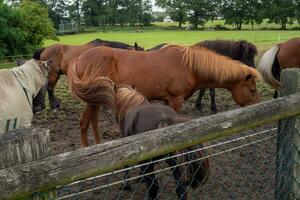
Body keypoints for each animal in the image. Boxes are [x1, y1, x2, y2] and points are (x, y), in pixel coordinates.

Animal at [67, 44, 260, 147]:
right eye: (252, 90)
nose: (259, 109)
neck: (189, 66)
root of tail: (79, 58)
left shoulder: (167, 100)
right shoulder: (176, 99)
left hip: (97, 99)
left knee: (93, 122)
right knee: (84, 122)